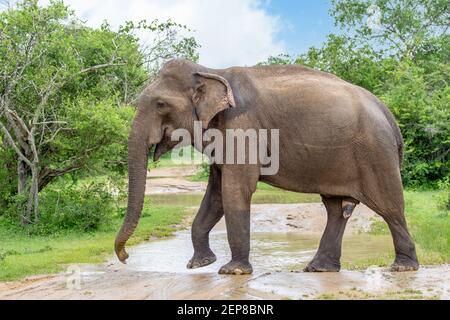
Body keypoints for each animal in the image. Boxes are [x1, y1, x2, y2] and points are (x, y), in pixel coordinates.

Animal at [115, 59, 418, 276]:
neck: (210, 70)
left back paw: (403, 267)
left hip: (376, 154)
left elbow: (235, 190)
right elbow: (216, 193)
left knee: (389, 206)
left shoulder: (242, 125)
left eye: (160, 104)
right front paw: (199, 265)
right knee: (335, 209)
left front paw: (232, 271)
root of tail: (390, 116)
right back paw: (319, 268)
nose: (126, 257)